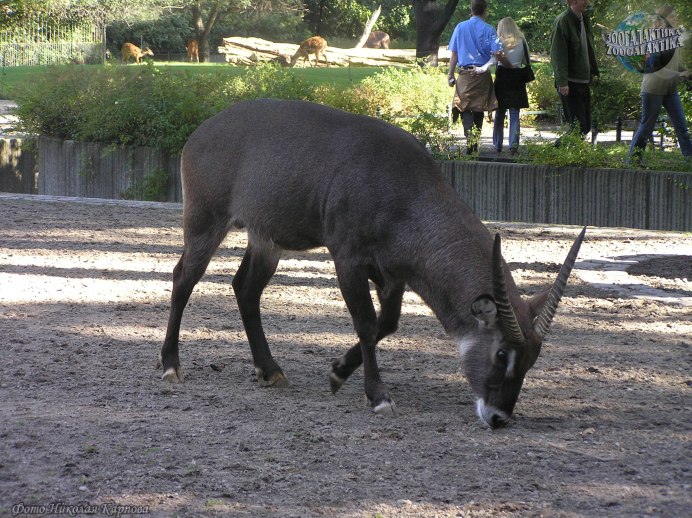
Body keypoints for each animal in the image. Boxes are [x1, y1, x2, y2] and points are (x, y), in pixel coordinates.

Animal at [159, 99, 588, 432]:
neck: (405, 188)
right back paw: (171, 366)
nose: (499, 417)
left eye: (531, 359)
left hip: (267, 241)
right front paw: (377, 395)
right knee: (184, 278)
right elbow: (366, 323)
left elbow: (389, 323)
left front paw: (337, 372)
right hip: (206, 222)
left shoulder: (392, 274)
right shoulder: (348, 258)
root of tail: (201, 132)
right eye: (502, 354)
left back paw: (271, 370)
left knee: (245, 289)